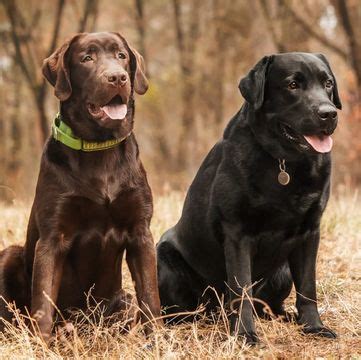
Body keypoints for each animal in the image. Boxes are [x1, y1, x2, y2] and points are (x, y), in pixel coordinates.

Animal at [0, 32, 160, 342]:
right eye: (87, 58)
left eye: (122, 56)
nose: (117, 77)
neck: (99, 149)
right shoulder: (52, 237)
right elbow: (43, 304)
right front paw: (42, 344)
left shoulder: (140, 231)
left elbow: (150, 296)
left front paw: (157, 340)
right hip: (9, 255)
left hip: (122, 301)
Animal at [158, 52, 340, 344]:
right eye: (292, 85)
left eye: (328, 84)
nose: (329, 113)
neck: (284, 162)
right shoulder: (237, 232)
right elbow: (241, 287)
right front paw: (244, 334)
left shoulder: (311, 230)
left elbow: (308, 286)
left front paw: (313, 326)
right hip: (165, 259)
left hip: (282, 273)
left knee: (268, 306)